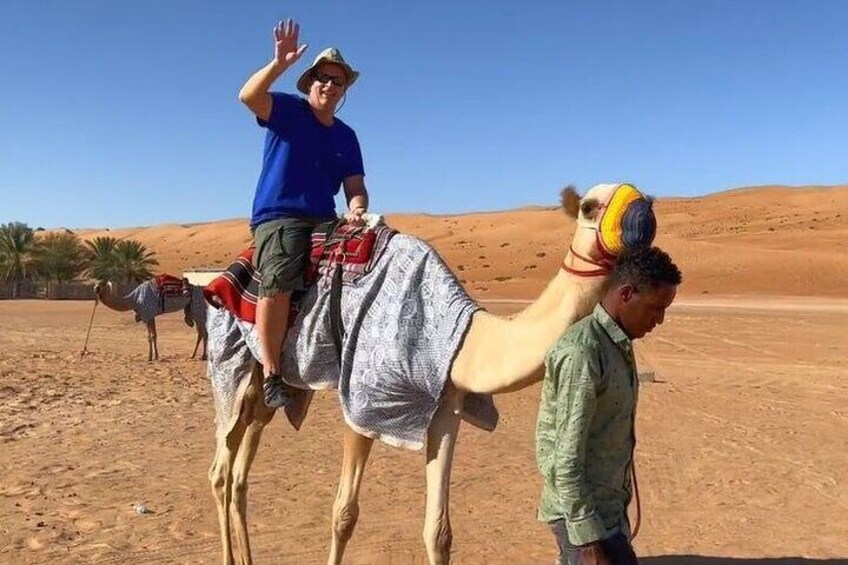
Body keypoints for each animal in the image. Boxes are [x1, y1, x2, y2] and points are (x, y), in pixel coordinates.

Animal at [205, 183, 656, 560]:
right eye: (589, 206)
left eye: (644, 195)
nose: (644, 216)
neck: (464, 335)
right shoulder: (362, 399)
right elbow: (343, 514)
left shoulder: (446, 405)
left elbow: (438, 531)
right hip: (232, 364)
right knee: (221, 470)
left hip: (266, 389)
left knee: (242, 469)